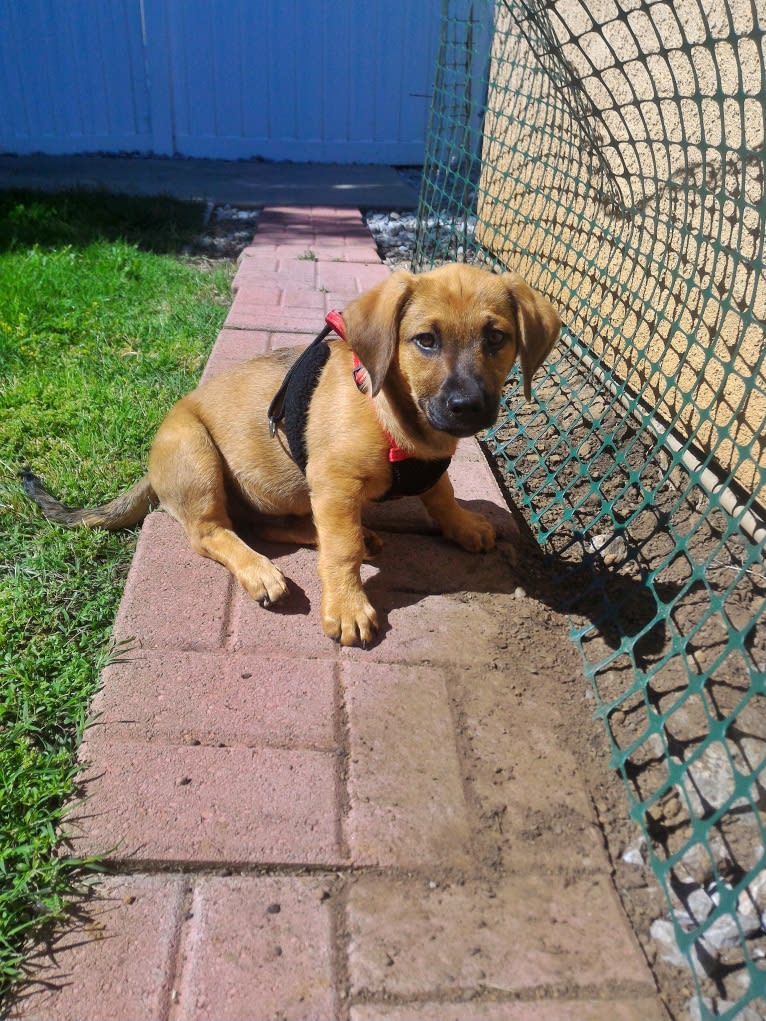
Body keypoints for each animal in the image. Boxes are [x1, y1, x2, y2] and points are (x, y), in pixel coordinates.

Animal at [20, 263, 559, 645]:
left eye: (496, 338)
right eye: (425, 340)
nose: (467, 407)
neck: (395, 416)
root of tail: (151, 469)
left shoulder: (408, 473)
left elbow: (441, 494)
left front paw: (463, 524)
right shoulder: (335, 481)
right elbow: (343, 549)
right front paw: (347, 607)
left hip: (279, 493)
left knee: (271, 524)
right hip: (198, 456)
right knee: (212, 533)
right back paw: (261, 571)